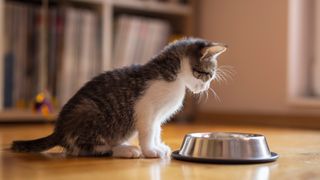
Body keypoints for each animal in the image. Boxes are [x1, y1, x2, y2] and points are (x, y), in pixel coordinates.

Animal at [11, 37, 228, 158]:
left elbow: (156, 129)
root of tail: (59, 130)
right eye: (207, 75)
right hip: (89, 111)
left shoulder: (158, 115)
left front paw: (158, 145)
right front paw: (150, 151)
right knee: (84, 148)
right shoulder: (145, 108)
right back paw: (124, 150)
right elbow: (148, 130)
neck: (173, 74)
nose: (205, 87)